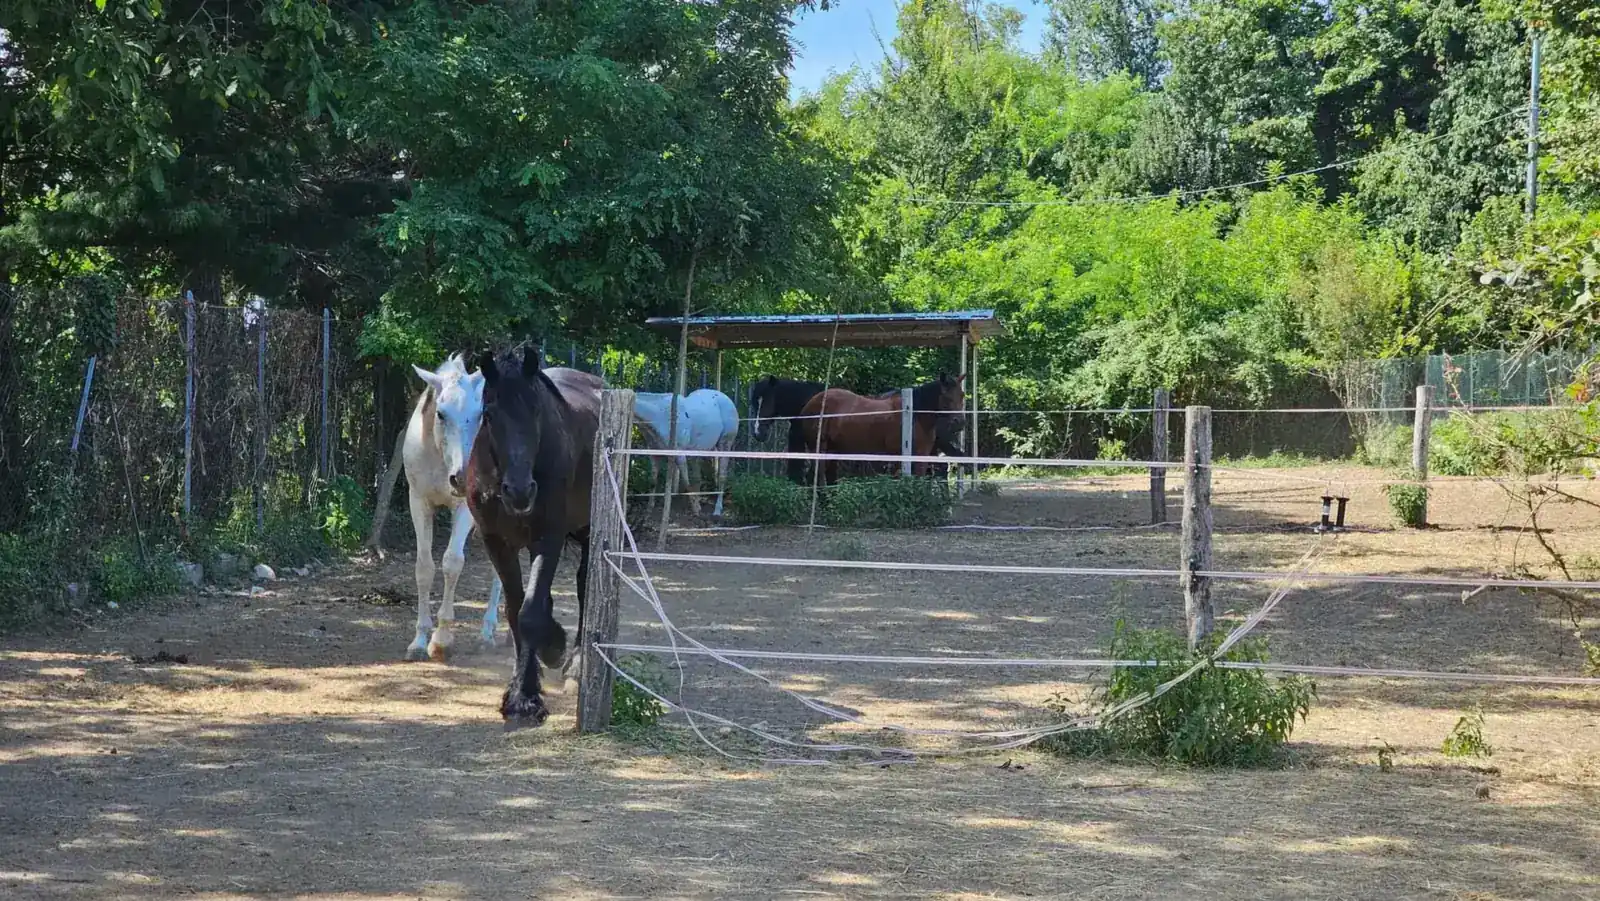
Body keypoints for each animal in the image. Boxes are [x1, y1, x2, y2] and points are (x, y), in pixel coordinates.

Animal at [401, 354, 505, 661]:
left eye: (479, 414)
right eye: (441, 413)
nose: (460, 477)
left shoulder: (465, 509)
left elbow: (452, 562)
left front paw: (442, 640)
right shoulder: (419, 502)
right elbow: (424, 566)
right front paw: (419, 641)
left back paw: (488, 634)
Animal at [465, 347, 603, 729]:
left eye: (536, 410)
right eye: (489, 414)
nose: (520, 491)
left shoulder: (549, 538)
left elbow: (530, 614)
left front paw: (528, 695)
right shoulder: (496, 542)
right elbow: (516, 610)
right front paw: (520, 691)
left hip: (587, 528)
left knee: (584, 584)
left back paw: (577, 663)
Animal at [797, 374, 966, 485]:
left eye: (962, 395)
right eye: (945, 396)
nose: (960, 423)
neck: (914, 414)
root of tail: (811, 403)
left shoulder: (922, 456)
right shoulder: (898, 455)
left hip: (832, 450)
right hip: (819, 448)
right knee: (818, 477)